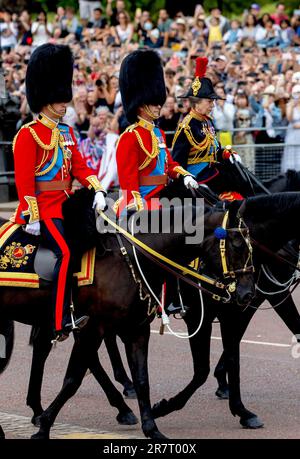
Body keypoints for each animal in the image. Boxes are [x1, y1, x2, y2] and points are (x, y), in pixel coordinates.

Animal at [0, 189, 255, 440]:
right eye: (237, 245)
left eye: (251, 245)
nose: (248, 294)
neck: (131, 258)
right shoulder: (93, 328)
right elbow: (73, 379)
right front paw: (44, 427)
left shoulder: (136, 329)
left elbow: (142, 379)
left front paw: (152, 428)